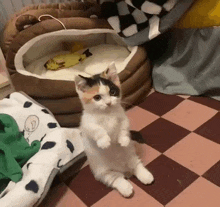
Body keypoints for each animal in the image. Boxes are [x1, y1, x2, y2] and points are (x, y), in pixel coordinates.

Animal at [75, 62, 154, 197]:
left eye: (112, 92)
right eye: (97, 97)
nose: (108, 103)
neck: (107, 113)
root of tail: (125, 170)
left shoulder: (123, 117)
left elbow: (123, 127)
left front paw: (123, 140)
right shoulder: (87, 124)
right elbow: (97, 129)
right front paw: (104, 141)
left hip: (131, 156)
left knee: (136, 164)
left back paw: (145, 175)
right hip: (102, 171)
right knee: (115, 178)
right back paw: (126, 188)